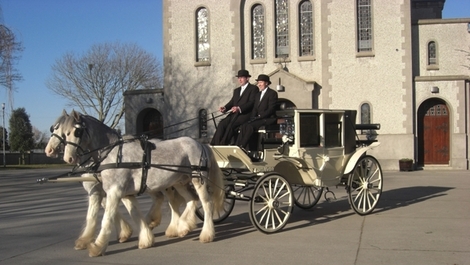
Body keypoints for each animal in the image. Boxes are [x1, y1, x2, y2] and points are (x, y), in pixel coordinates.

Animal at [61, 110, 226, 256]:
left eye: (77, 132)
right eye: (64, 133)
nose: (68, 158)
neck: (113, 153)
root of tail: (201, 144)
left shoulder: (114, 191)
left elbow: (107, 220)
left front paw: (97, 247)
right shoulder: (125, 193)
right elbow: (135, 215)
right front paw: (146, 238)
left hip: (198, 179)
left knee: (206, 203)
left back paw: (206, 234)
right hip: (179, 181)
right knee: (191, 199)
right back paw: (182, 227)